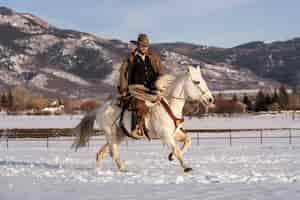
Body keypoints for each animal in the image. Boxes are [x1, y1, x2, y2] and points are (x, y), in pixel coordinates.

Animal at [72, 65, 213, 172]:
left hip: (118, 136)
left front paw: (171, 157)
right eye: (197, 82)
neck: (169, 106)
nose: (210, 99)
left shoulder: (175, 133)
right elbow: (177, 150)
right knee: (113, 153)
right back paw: (123, 169)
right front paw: (186, 167)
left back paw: (99, 170)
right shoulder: (165, 135)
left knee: (101, 153)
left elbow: (187, 141)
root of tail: (99, 109)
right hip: (111, 134)